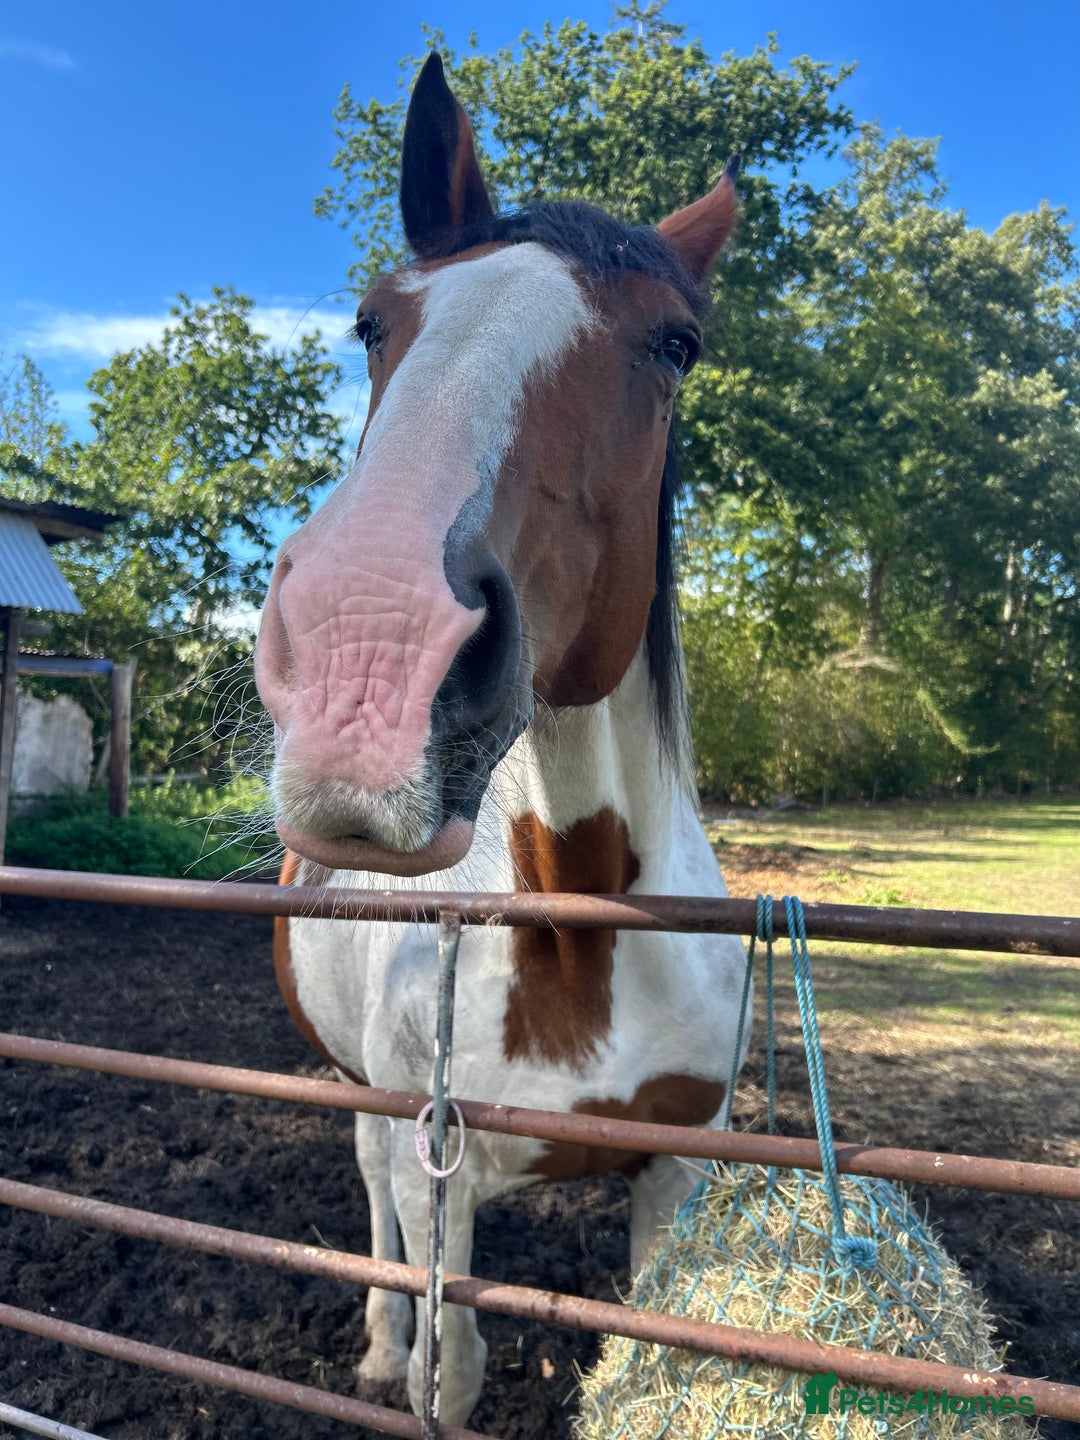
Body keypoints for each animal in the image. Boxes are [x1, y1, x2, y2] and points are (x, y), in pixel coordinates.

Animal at [255, 52, 748, 1425]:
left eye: (677, 345)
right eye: (375, 322)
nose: (368, 662)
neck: (582, 928)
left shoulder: (675, 1174)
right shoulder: (447, 1179)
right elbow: (454, 1366)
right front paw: (401, 1354)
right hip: (369, 1098)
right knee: (371, 1182)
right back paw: (375, 1340)